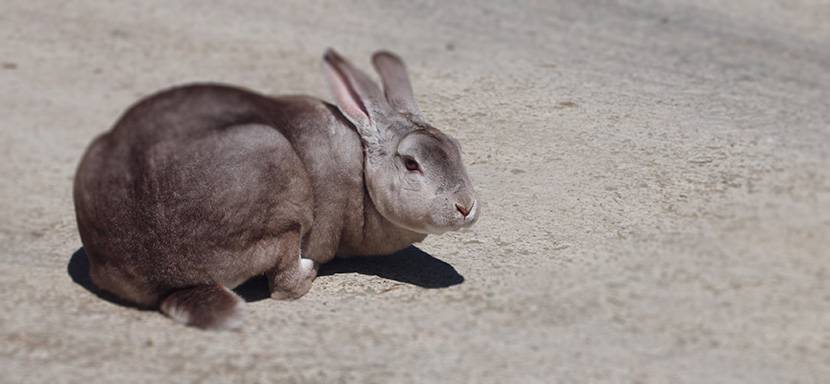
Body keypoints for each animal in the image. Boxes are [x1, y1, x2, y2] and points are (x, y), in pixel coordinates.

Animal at [72, 49, 480, 328]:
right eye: (411, 163)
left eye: (457, 148)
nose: (466, 207)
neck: (360, 167)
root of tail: (168, 278)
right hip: (280, 195)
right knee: (284, 283)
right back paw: (310, 269)